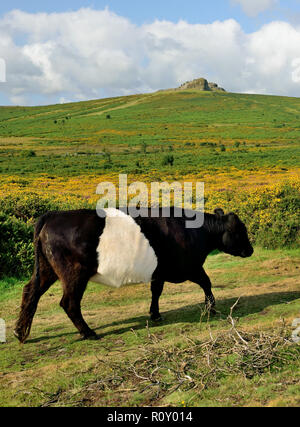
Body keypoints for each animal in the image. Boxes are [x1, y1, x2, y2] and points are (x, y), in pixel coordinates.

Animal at [14, 207, 253, 344]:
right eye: (240, 231)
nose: (250, 250)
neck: (196, 229)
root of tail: (53, 215)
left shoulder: (160, 272)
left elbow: (156, 291)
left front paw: (155, 314)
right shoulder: (189, 268)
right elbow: (206, 282)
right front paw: (211, 307)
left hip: (47, 270)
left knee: (30, 292)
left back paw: (19, 332)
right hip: (74, 274)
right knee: (69, 303)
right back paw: (89, 332)